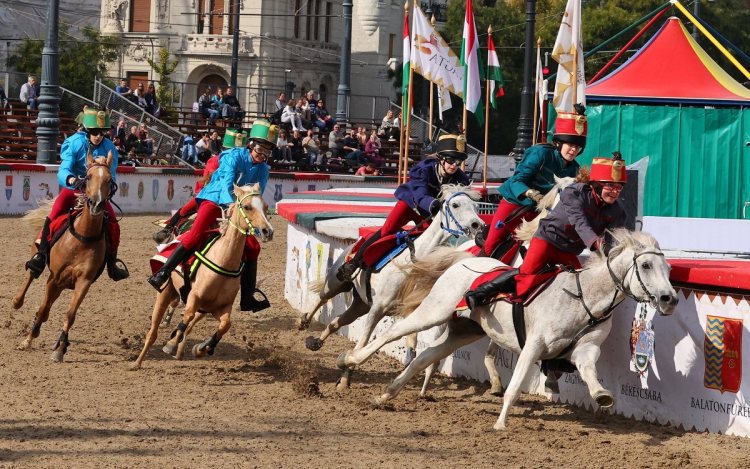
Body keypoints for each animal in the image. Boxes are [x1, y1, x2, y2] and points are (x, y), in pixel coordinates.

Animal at [13, 151, 117, 362]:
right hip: (40, 261)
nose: (96, 204)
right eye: (89, 177)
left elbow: (69, 314)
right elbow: (43, 309)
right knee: (31, 276)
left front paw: (60, 348)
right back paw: (18, 302)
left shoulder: (83, 281)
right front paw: (28, 340)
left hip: (63, 285)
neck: (83, 237)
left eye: (109, 180)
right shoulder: (54, 278)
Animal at [131, 183, 274, 370]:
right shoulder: (194, 297)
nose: (267, 231)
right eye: (247, 206)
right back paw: (138, 361)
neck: (223, 260)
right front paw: (176, 340)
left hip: (203, 306)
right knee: (153, 331)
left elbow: (225, 324)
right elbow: (187, 317)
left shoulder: (221, 307)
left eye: (265, 206)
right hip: (165, 292)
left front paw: (202, 348)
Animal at [296, 183, 484, 388]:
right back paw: (303, 321)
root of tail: (353, 245)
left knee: (336, 322)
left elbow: (410, 340)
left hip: (360, 305)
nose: (478, 225)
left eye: (476, 206)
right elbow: (362, 343)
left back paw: (316, 342)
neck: (413, 264)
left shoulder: (408, 310)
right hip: (337, 283)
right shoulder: (377, 309)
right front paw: (346, 374)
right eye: (456, 204)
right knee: (323, 298)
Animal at [340, 229, 680, 430]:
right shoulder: (534, 346)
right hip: (434, 311)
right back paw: (351, 360)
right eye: (646, 266)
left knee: (425, 357)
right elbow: (515, 386)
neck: (581, 296)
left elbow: (588, 371)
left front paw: (601, 395)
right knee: (391, 334)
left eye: (668, 268)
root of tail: (461, 260)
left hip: (464, 331)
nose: (670, 299)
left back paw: (387, 394)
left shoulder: (584, 348)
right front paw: (501, 423)